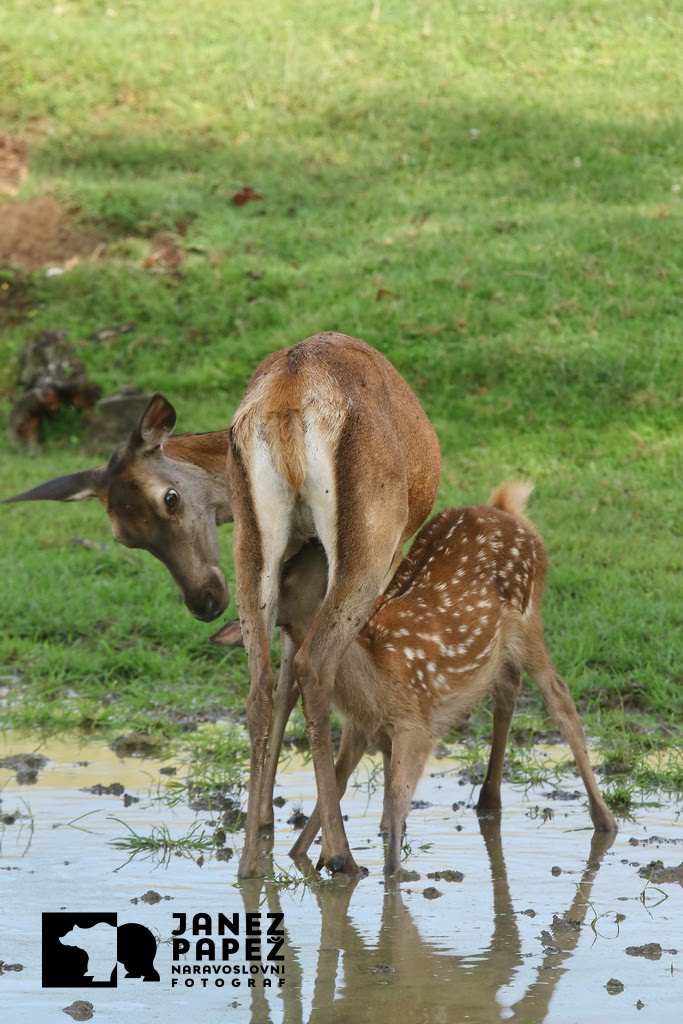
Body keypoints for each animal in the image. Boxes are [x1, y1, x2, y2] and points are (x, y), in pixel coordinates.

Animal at [3, 331, 444, 876]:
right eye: (128, 535)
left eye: (169, 499)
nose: (204, 601)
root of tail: (289, 402)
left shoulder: (293, 581)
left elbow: (282, 686)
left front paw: (267, 824)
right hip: (372, 543)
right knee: (315, 666)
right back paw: (339, 855)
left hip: (254, 550)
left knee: (261, 688)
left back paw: (251, 860)